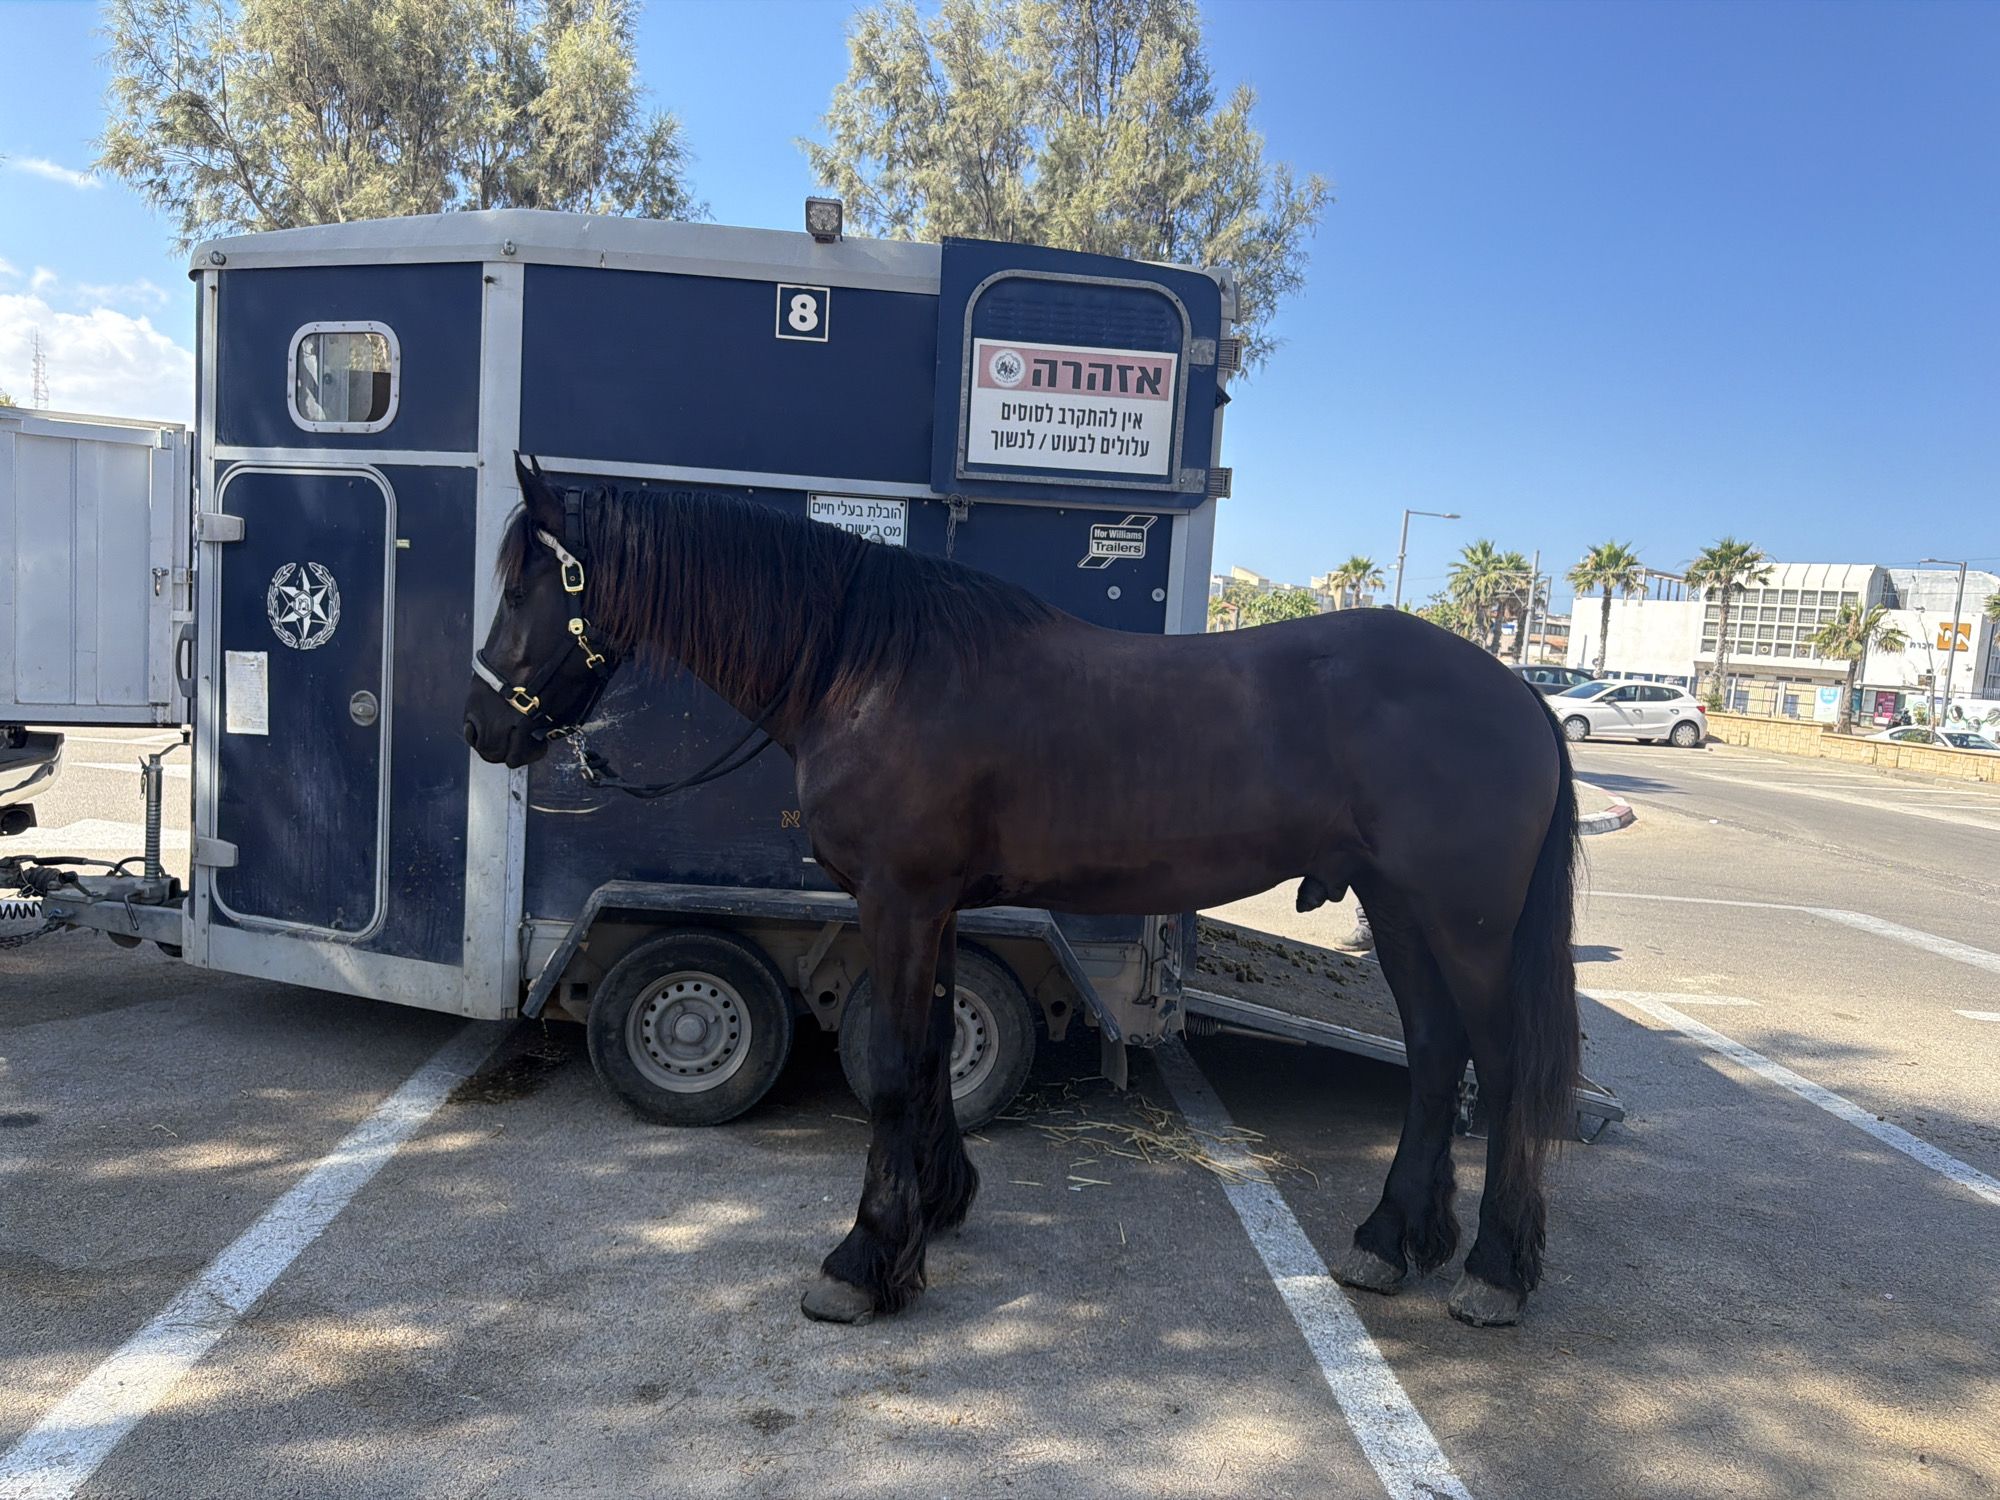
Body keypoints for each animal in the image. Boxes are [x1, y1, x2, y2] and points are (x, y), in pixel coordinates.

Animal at [463, 456, 1581, 1329]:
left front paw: (864, 1260)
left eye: (522, 589)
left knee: (1501, 1070)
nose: (482, 726)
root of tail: (1519, 691)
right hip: (1397, 909)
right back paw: (1391, 1242)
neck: (868, 668)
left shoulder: (899, 901)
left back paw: (1492, 1272)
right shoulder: (937, 908)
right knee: (1435, 1056)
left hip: (1465, 922)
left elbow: (896, 1067)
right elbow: (923, 1053)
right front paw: (937, 1207)